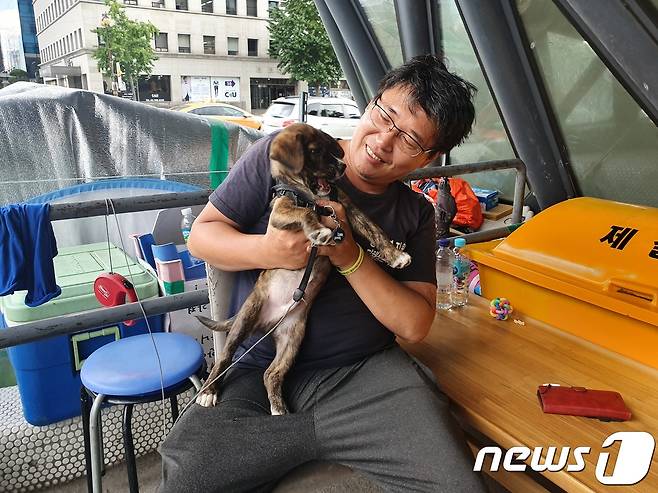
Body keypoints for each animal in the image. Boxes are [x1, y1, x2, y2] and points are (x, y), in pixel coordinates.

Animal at [195, 123, 410, 416]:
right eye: (315, 152)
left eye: (331, 149)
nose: (342, 166)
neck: (310, 194)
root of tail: (268, 323)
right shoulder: (282, 212)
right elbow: (305, 213)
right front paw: (319, 231)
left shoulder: (348, 208)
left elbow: (375, 230)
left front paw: (395, 255)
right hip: (246, 317)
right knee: (225, 358)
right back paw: (209, 392)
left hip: (292, 339)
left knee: (271, 374)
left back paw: (278, 409)